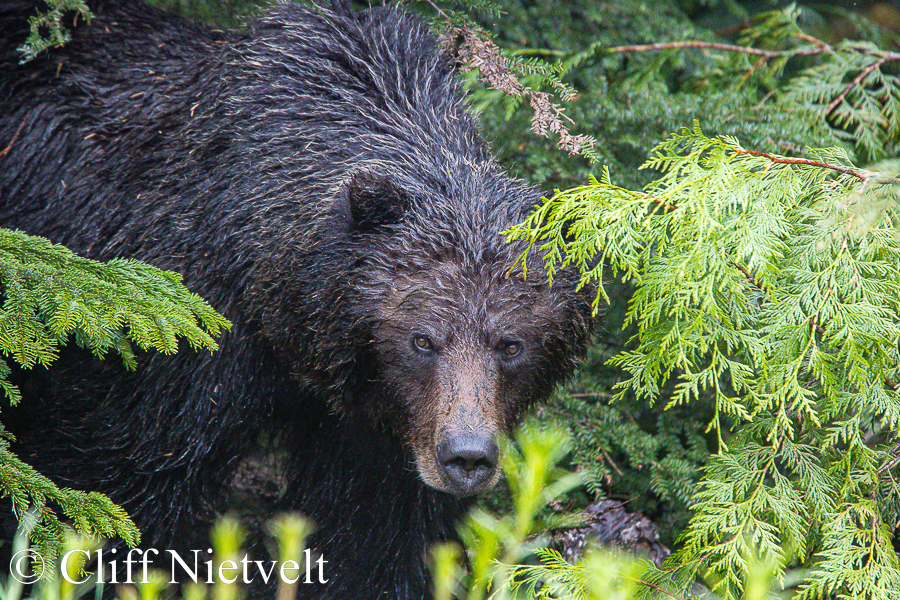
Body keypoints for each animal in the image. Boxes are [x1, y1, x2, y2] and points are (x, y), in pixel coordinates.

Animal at [0, 0, 596, 596]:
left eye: (511, 344)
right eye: (423, 339)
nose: (466, 456)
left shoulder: (377, 427)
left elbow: (372, 537)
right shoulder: (175, 340)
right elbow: (121, 487)